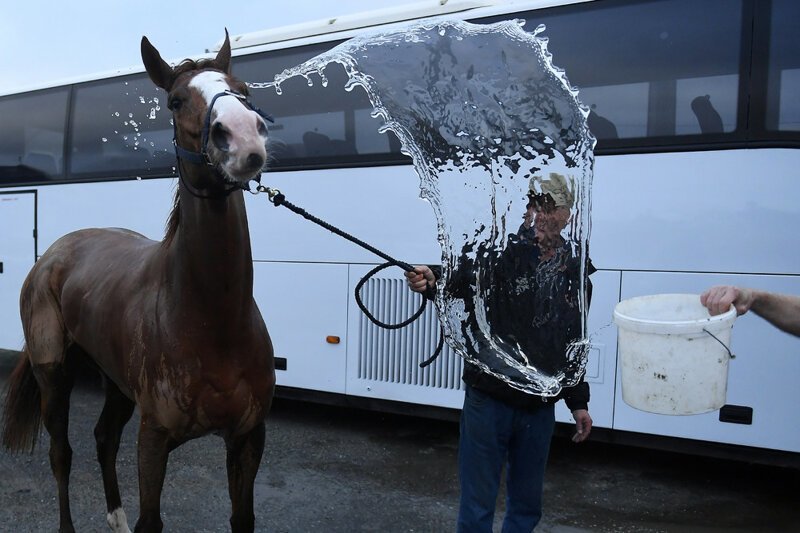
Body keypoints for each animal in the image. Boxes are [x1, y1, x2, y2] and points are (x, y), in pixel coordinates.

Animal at [1, 33, 276, 532]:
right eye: (175, 100)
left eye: (243, 89)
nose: (243, 136)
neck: (212, 322)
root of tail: (53, 253)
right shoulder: (153, 440)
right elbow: (151, 519)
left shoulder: (248, 437)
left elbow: (241, 517)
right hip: (54, 375)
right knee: (61, 454)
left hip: (114, 380)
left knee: (104, 437)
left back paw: (115, 517)